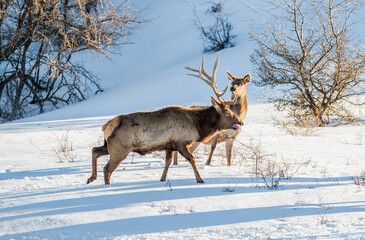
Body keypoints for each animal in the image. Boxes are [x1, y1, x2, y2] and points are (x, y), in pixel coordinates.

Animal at [86, 54, 242, 186]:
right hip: (120, 148)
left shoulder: (169, 146)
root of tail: (106, 126)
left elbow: (167, 162)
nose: (240, 122)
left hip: (110, 145)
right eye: (227, 112)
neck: (198, 126)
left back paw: (91, 178)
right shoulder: (180, 142)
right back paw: (105, 185)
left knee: (95, 150)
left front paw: (162, 179)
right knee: (107, 168)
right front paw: (200, 180)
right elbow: (192, 159)